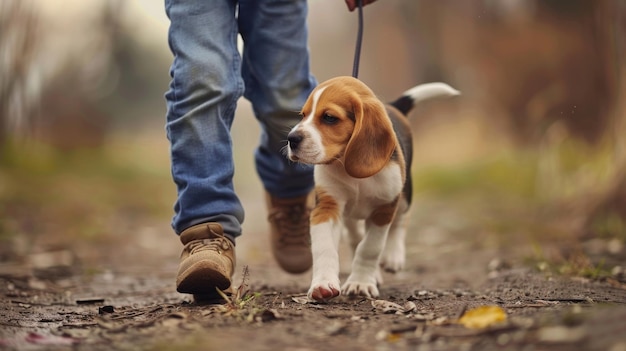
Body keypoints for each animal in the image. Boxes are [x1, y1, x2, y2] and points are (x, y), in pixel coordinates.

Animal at [286, 75, 456, 302]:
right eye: (303, 115)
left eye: (329, 117)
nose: (291, 139)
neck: (346, 164)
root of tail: (393, 106)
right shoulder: (327, 207)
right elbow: (325, 248)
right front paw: (323, 284)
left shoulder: (383, 209)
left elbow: (370, 248)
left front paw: (361, 283)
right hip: (350, 214)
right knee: (354, 235)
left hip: (403, 194)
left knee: (401, 219)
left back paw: (392, 256)